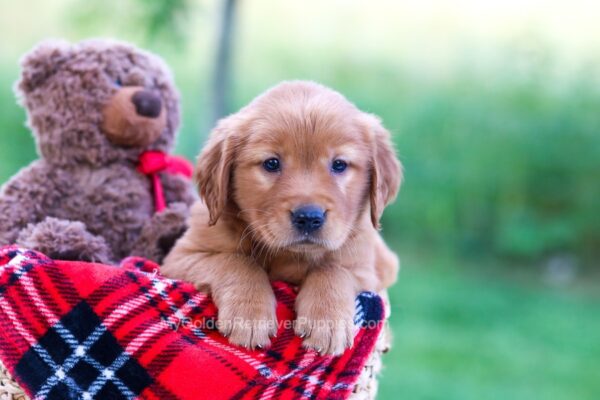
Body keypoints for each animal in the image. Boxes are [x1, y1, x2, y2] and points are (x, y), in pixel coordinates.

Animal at [162, 79, 400, 354]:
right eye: (271, 163)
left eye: (339, 164)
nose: (309, 217)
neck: (288, 255)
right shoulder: (181, 257)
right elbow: (236, 261)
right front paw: (249, 316)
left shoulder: (367, 268)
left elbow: (333, 268)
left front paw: (327, 322)